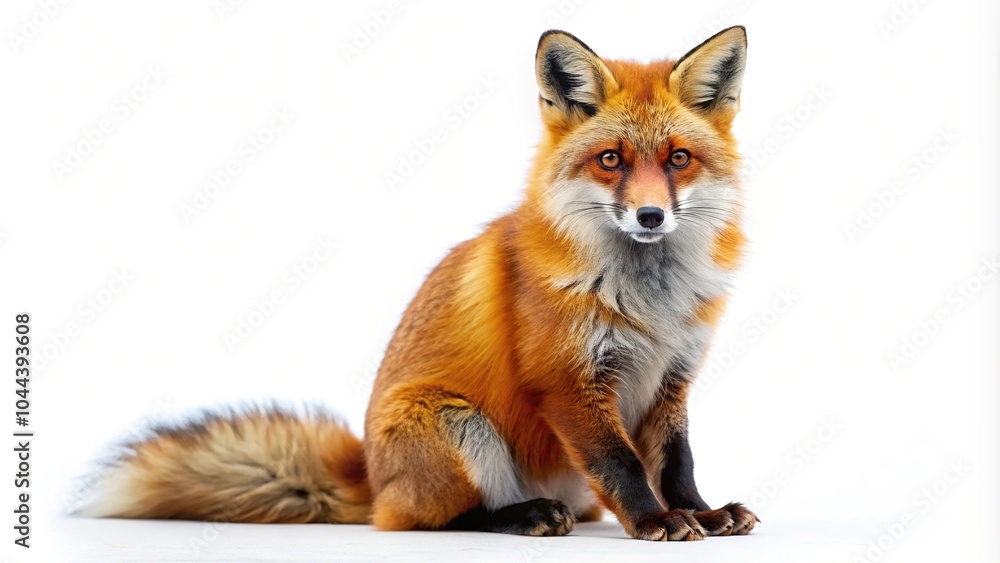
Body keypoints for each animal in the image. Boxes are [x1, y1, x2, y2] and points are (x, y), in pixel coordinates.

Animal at [80, 26, 758, 541]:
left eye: (677, 159)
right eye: (611, 160)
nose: (651, 216)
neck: (650, 302)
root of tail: (368, 470)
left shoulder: (672, 378)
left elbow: (675, 465)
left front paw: (700, 513)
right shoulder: (569, 381)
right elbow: (623, 466)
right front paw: (654, 522)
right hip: (457, 424)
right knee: (424, 519)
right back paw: (522, 515)